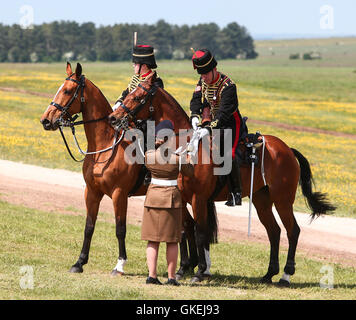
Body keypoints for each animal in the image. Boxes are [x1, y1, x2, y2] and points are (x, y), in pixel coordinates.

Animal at [108, 74, 336, 284]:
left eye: (137, 97)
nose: (113, 118)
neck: (187, 147)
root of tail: (286, 149)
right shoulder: (180, 198)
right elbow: (184, 229)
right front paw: (184, 270)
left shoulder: (199, 199)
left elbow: (200, 232)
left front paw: (199, 272)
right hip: (262, 200)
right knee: (274, 231)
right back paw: (269, 274)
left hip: (283, 200)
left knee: (293, 231)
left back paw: (286, 275)